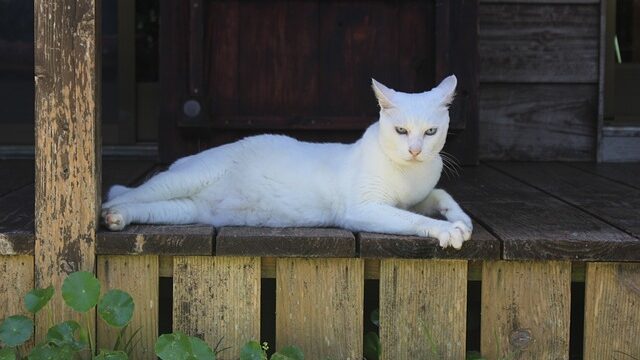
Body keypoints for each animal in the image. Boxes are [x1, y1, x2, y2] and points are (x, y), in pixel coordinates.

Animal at [100, 76, 470, 249]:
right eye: (401, 131)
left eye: (430, 132)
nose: (415, 150)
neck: (411, 174)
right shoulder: (365, 209)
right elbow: (413, 219)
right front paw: (446, 230)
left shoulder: (418, 197)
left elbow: (441, 195)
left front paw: (461, 221)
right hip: (182, 180)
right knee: (127, 194)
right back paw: (106, 212)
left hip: (183, 211)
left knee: (146, 209)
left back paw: (118, 219)